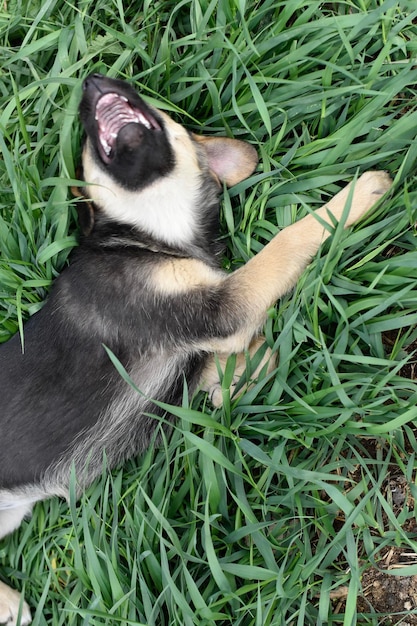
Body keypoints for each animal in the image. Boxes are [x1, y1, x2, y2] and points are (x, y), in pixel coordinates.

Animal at [0, 73, 390, 620]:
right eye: (86, 145)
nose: (94, 80)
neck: (155, 238)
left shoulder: (199, 330)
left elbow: (220, 368)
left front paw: (248, 370)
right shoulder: (219, 309)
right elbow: (286, 241)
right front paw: (358, 194)